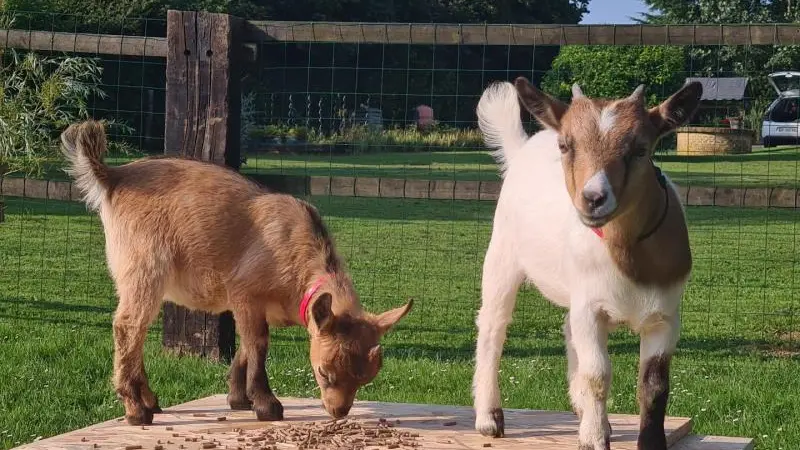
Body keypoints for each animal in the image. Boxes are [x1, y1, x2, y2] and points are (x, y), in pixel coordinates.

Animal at [60, 119, 412, 426]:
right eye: (324, 372)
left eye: (367, 377)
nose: (338, 412)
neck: (296, 253)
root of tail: (112, 176)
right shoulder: (245, 292)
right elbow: (258, 346)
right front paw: (267, 406)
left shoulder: (254, 308)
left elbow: (245, 346)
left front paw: (239, 399)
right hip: (144, 266)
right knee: (128, 326)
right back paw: (136, 410)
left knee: (137, 331)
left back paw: (150, 401)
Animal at [472, 78, 704, 450]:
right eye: (566, 146)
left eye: (640, 149)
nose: (593, 198)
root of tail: (522, 147)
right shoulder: (590, 306)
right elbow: (597, 374)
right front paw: (593, 440)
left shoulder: (665, 315)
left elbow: (655, 384)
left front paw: (645, 440)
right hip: (502, 255)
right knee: (493, 327)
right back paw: (489, 417)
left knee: (568, 330)